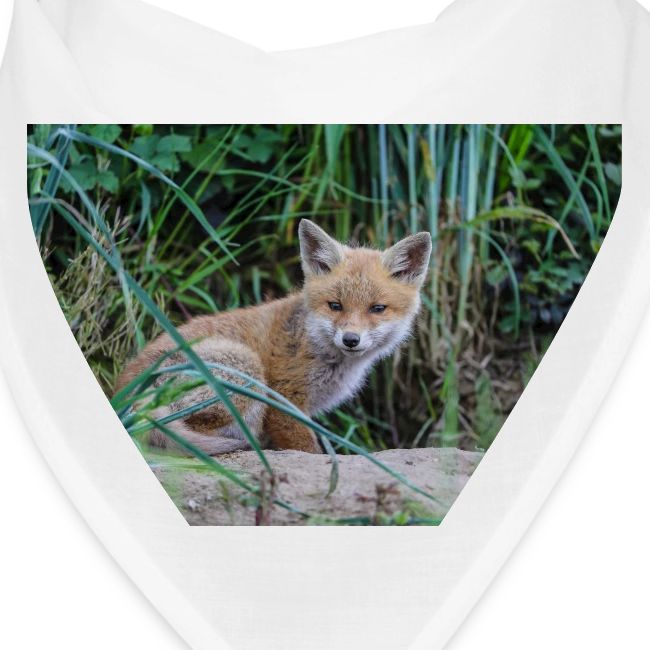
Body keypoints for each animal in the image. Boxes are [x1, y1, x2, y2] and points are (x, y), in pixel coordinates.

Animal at [116, 220, 432, 455]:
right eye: (335, 305)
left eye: (377, 309)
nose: (350, 339)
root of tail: (125, 393)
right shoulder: (284, 400)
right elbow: (307, 448)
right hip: (246, 369)